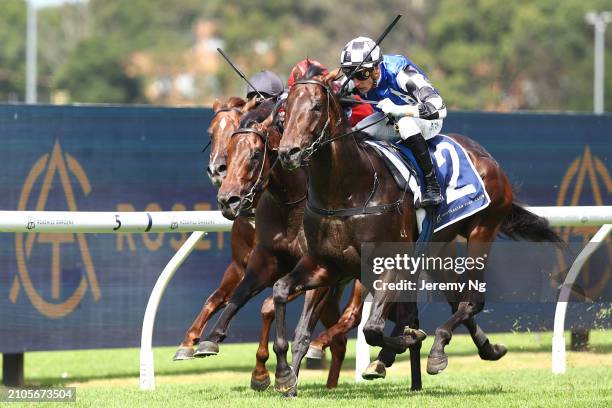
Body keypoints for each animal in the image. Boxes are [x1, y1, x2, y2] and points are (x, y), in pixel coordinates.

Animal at [274, 66, 564, 396]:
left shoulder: (389, 263)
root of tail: (486, 157)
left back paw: (436, 349)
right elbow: (284, 299)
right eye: (285, 110)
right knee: (458, 298)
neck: (349, 190)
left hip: (482, 231)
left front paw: (409, 340)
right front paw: (286, 377)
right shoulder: (325, 264)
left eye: (316, 107)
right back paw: (486, 349)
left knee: (472, 300)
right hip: (439, 251)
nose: (288, 152)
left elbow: (373, 328)